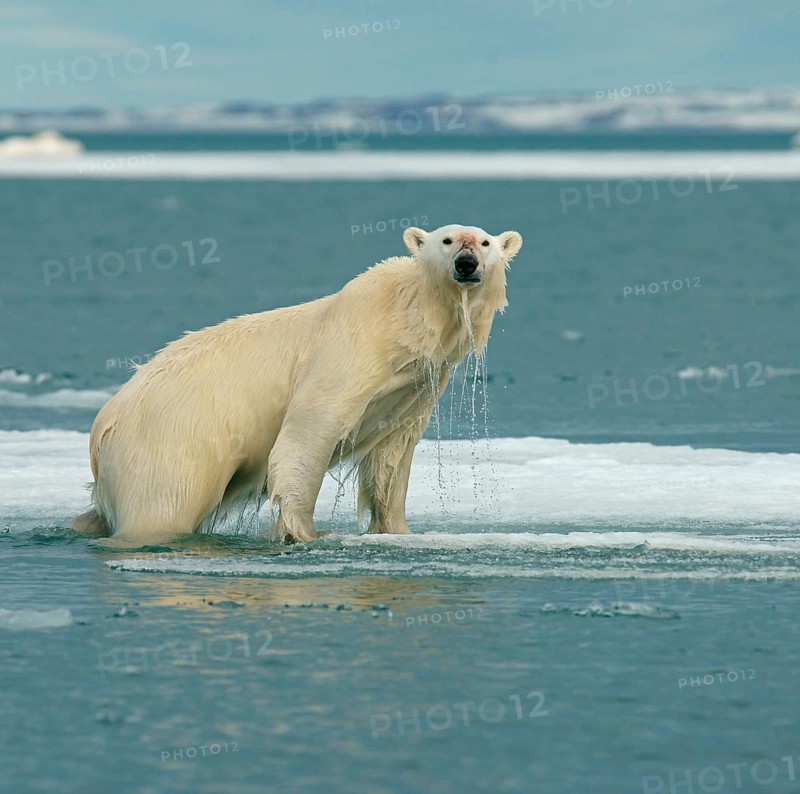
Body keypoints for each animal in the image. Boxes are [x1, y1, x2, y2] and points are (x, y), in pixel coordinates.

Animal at [71, 224, 523, 544]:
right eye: (447, 240)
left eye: (484, 242)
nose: (466, 263)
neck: (406, 317)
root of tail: (103, 427)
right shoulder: (349, 352)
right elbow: (309, 430)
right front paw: (305, 532)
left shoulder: (416, 384)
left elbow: (392, 455)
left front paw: (398, 530)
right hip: (172, 444)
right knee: (163, 507)